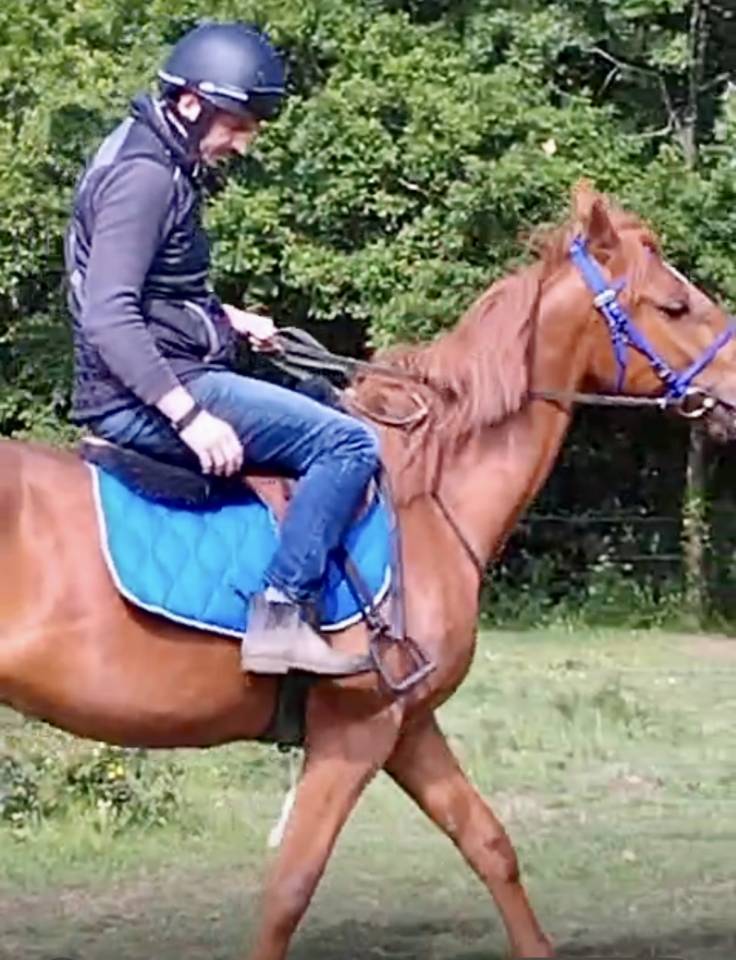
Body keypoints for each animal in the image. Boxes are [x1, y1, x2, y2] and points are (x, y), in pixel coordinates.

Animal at [2, 184, 736, 960]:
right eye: (674, 306)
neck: (425, 499)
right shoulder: (355, 734)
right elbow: (289, 890)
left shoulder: (409, 727)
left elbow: (489, 844)